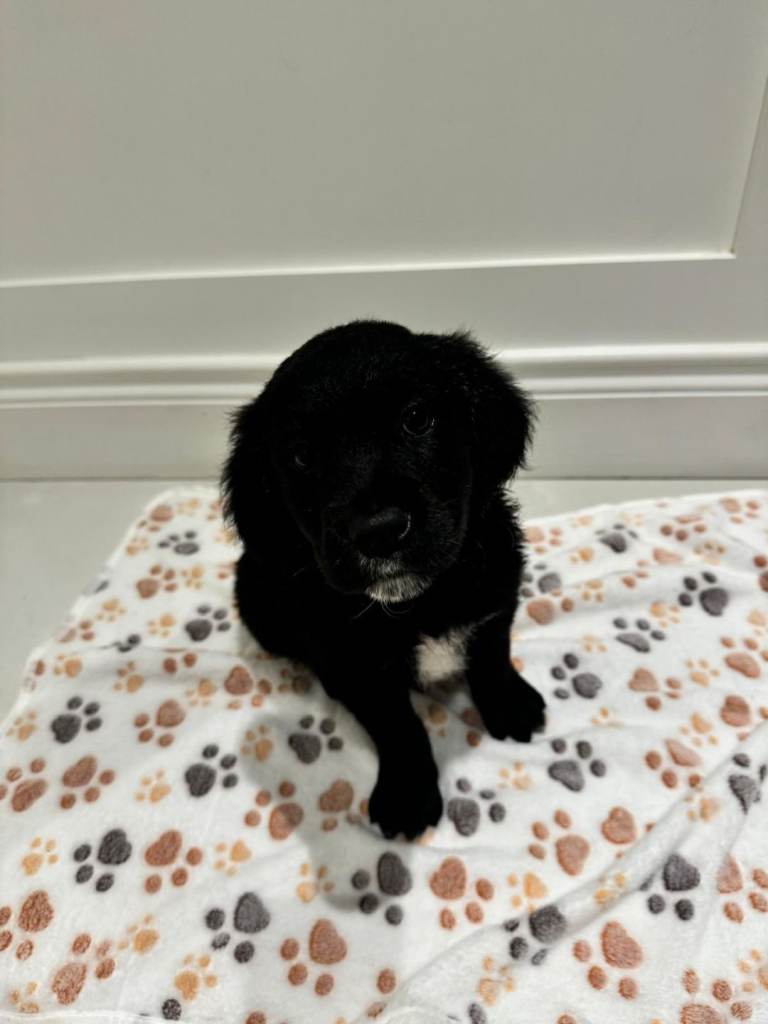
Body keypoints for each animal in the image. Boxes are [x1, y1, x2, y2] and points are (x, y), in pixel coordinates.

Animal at [223, 319, 545, 838]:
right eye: (302, 457)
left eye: (416, 418)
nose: (378, 531)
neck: (417, 603)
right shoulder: (357, 671)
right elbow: (400, 728)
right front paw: (408, 794)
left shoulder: (496, 598)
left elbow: (492, 656)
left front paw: (510, 704)